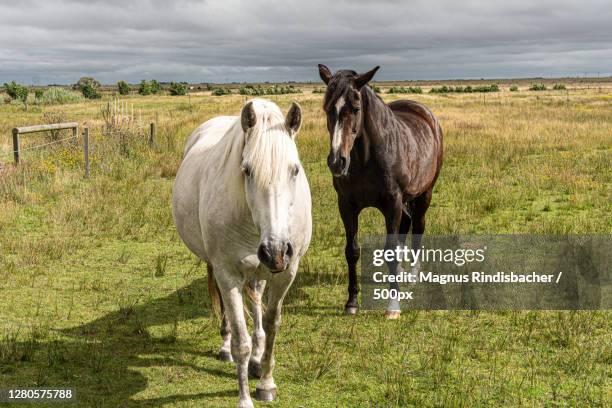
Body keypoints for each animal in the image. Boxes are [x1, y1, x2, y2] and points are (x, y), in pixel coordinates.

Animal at [172, 99, 310, 408]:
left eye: (295, 170)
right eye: (247, 171)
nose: (275, 251)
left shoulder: (286, 274)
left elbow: (271, 325)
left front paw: (266, 382)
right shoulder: (228, 274)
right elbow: (241, 340)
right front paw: (245, 398)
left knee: (257, 303)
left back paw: (257, 361)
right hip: (219, 268)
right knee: (227, 315)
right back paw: (226, 347)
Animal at [318, 63, 442, 318]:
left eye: (355, 108)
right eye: (327, 108)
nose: (337, 162)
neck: (366, 159)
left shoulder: (392, 203)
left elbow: (390, 250)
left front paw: (393, 306)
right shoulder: (346, 205)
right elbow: (352, 250)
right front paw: (352, 302)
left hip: (424, 194)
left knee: (418, 226)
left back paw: (412, 274)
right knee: (407, 223)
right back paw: (403, 272)